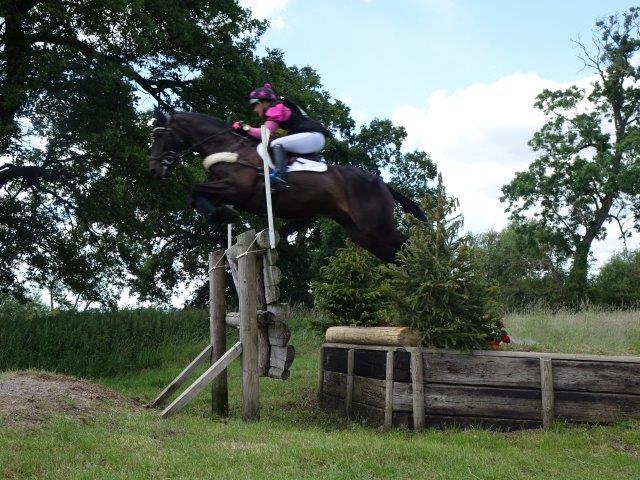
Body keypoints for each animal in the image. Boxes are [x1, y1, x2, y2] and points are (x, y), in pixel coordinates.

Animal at [148, 108, 426, 263]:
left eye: (159, 135)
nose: (152, 169)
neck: (229, 148)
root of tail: (382, 183)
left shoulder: (238, 189)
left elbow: (194, 189)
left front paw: (222, 214)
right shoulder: (227, 190)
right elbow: (195, 195)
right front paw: (220, 213)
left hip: (375, 225)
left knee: (406, 246)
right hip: (359, 231)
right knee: (394, 254)